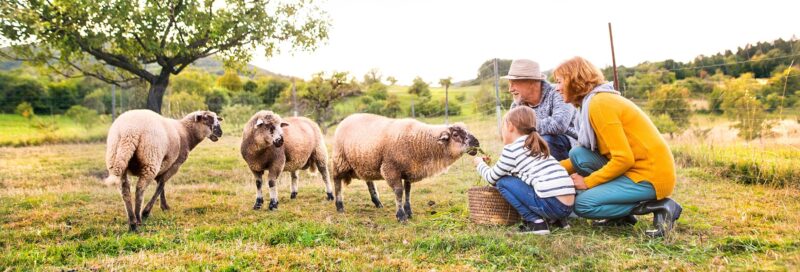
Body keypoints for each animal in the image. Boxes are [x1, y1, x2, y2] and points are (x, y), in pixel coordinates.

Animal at [328, 113, 478, 222]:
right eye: (456, 135)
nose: (477, 142)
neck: (421, 142)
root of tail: (347, 117)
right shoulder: (391, 169)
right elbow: (399, 192)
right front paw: (401, 215)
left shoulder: (408, 171)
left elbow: (408, 191)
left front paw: (409, 211)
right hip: (340, 160)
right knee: (336, 181)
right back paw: (339, 206)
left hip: (365, 162)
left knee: (368, 181)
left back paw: (377, 202)